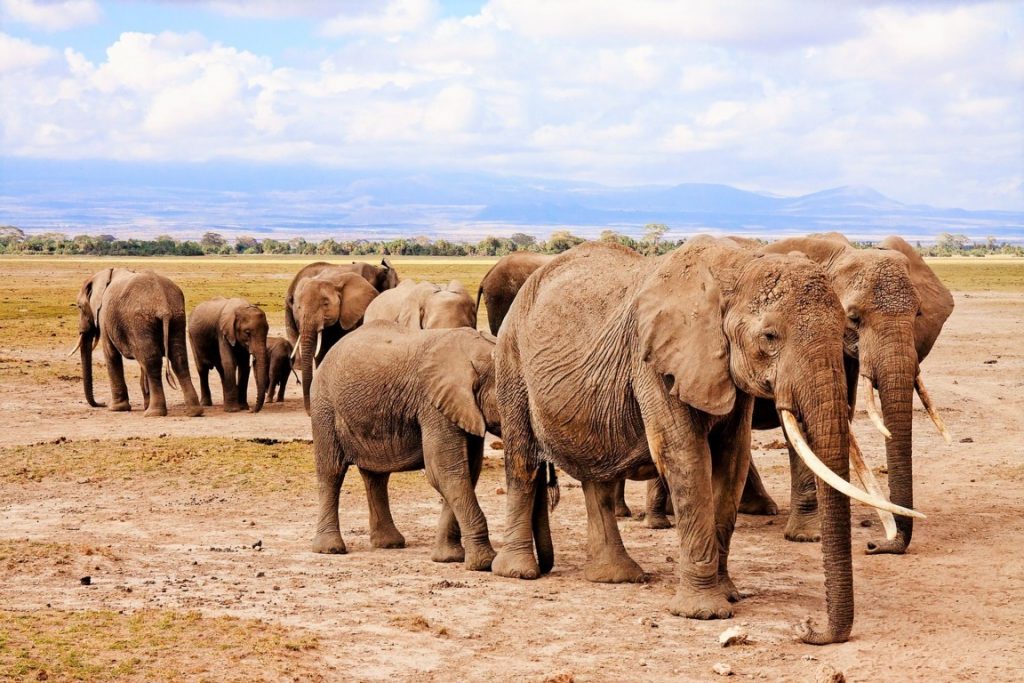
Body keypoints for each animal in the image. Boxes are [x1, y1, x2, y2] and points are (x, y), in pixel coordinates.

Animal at [71, 268, 202, 417]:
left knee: (152, 361)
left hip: (140, 320)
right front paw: (144, 404)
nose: (101, 404)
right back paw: (194, 411)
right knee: (179, 359)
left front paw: (116, 408)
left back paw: (153, 412)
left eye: (80, 307)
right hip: (177, 317)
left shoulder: (105, 316)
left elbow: (111, 354)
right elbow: (142, 361)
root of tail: (163, 303)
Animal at [290, 271, 380, 413]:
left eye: (325, 304)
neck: (332, 281)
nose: (309, 412)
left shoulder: (351, 315)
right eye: (298, 307)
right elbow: (320, 353)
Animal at [310, 321, 501, 572]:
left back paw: (389, 544)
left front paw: (448, 558)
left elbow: (466, 472)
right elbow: (445, 471)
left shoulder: (463, 408)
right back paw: (330, 549)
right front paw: (484, 563)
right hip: (324, 406)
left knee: (376, 477)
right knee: (331, 472)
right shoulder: (434, 405)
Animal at [490, 237, 922, 645]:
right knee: (522, 461)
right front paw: (704, 612)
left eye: (844, 329)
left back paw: (615, 577)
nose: (808, 628)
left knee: (597, 476)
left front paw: (728, 593)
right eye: (769, 337)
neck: (736, 269)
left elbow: (732, 461)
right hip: (511, 361)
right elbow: (686, 457)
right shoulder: (654, 362)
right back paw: (519, 571)